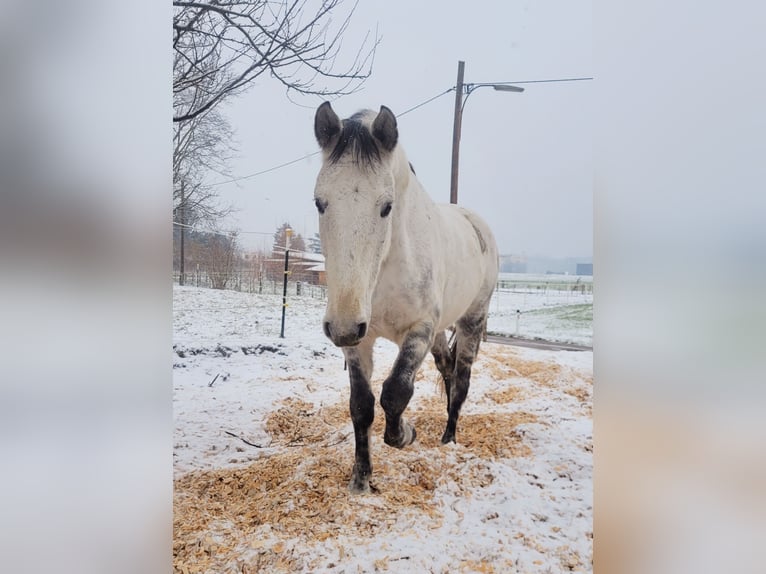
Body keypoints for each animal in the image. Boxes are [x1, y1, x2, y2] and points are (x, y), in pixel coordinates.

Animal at [316, 103, 500, 496]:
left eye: (386, 206)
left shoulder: (419, 329)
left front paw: (406, 434)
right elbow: (362, 405)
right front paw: (361, 479)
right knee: (447, 370)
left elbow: (396, 392)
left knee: (461, 381)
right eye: (320, 203)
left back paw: (449, 438)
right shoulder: (360, 338)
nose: (340, 327)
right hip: (438, 333)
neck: (386, 266)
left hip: (471, 321)